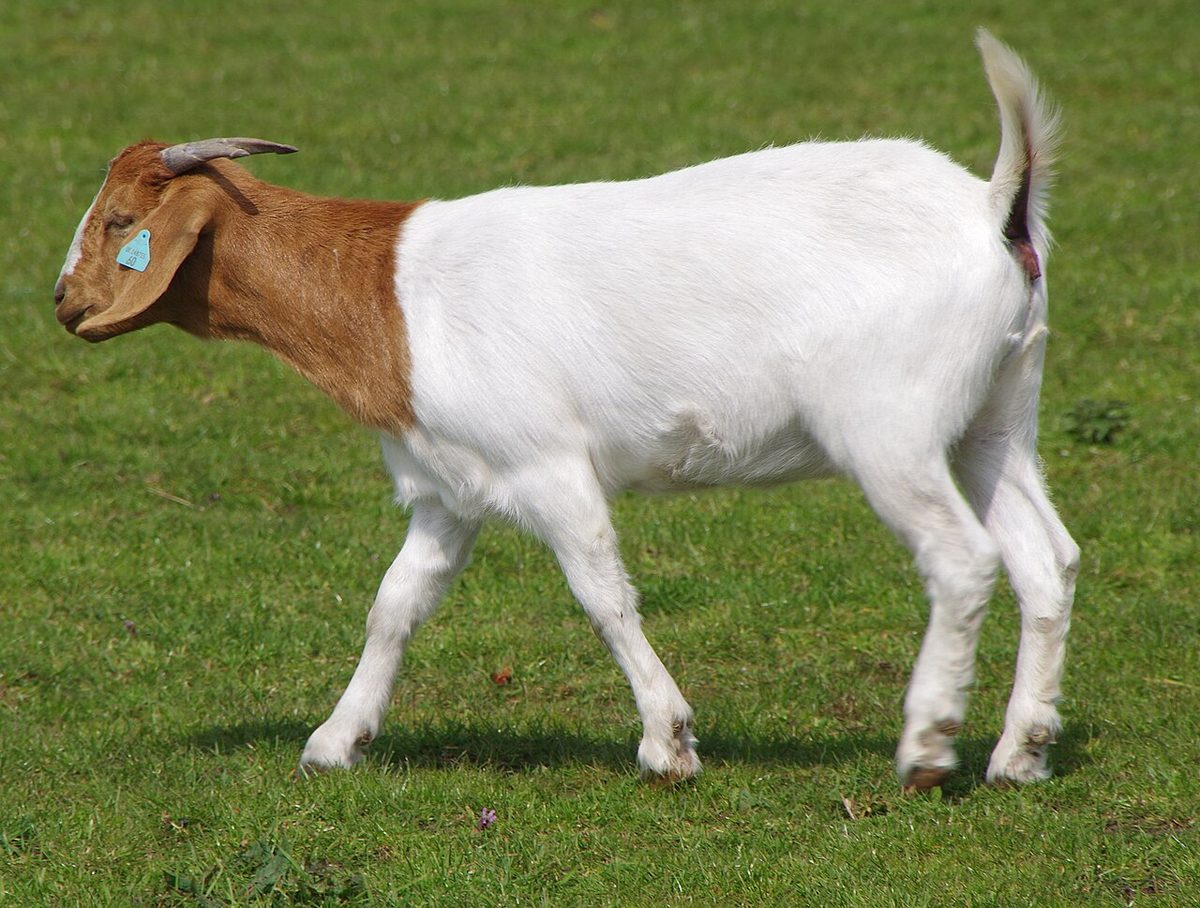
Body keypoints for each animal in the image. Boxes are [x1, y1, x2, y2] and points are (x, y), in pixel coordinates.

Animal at [54, 31, 1078, 790]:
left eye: (120, 224)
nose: (63, 304)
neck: (390, 295)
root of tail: (996, 206)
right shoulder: (449, 486)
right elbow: (396, 604)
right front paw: (334, 742)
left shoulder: (545, 464)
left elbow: (601, 593)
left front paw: (669, 744)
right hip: (997, 412)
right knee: (1045, 558)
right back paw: (1017, 753)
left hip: (887, 426)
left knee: (962, 557)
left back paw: (927, 746)